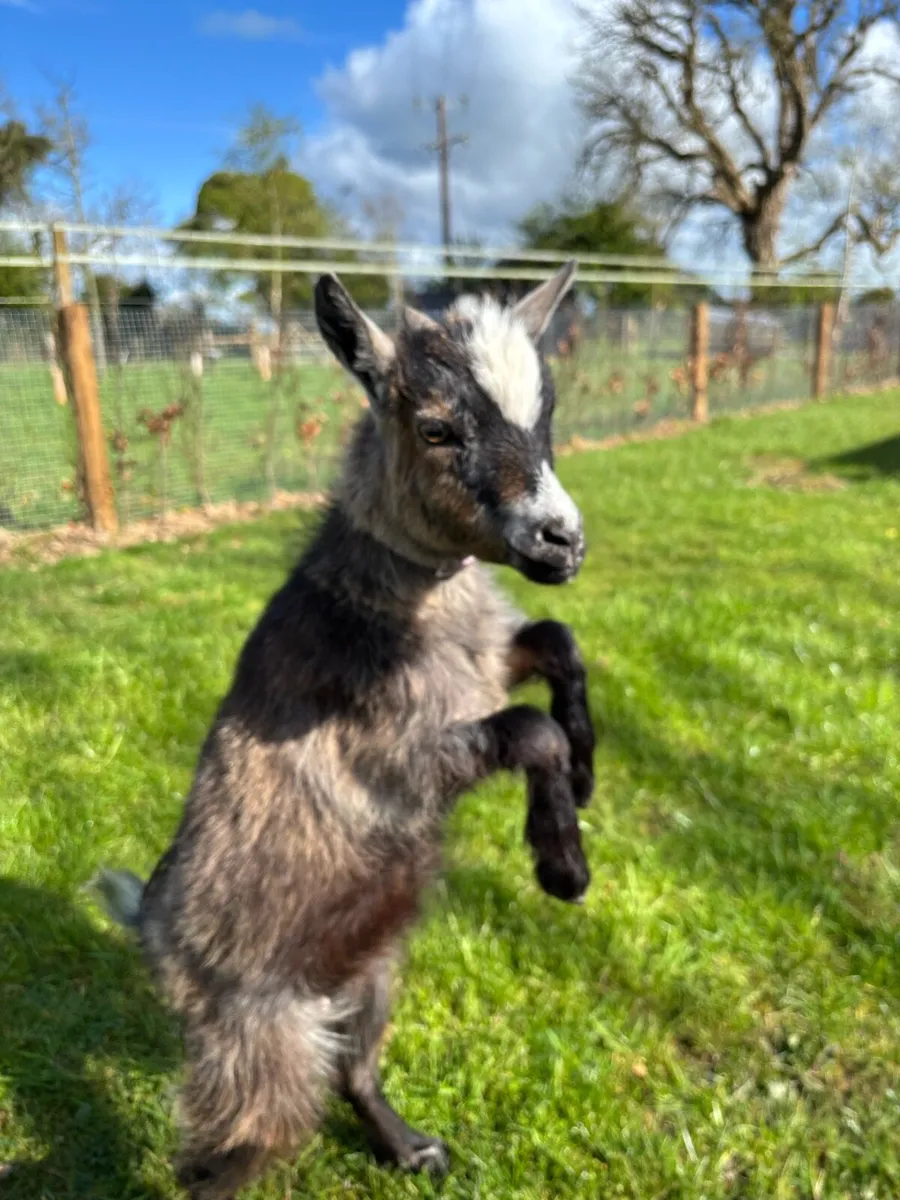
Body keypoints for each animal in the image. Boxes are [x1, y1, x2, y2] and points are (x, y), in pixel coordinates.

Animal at [94, 261, 595, 1199]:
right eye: (437, 428)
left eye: (545, 412)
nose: (562, 541)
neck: (413, 604)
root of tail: (148, 930)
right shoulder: (398, 759)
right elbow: (527, 731)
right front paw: (564, 868)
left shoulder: (486, 666)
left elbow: (557, 642)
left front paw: (584, 775)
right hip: (261, 1047)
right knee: (217, 1160)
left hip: (370, 972)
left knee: (353, 1070)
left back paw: (411, 1149)